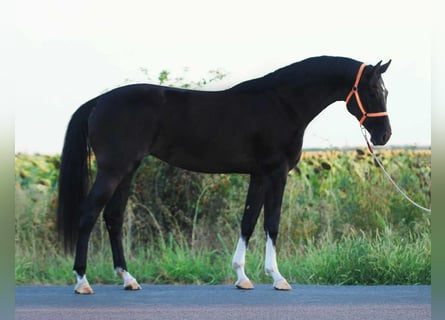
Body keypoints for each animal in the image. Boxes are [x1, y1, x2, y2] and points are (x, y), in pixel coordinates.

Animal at [57, 55, 390, 292]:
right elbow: (272, 223)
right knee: (88, 214)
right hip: (112, 170)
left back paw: (128, 278)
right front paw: (277, 277)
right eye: (373, 91)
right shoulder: (276, 172)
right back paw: (82, 281)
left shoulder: (258, 175)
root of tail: (98, 102)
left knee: (113, 217)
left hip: (127, 170)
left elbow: (248, 222)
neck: (282, 103)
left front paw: (242, 277)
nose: (384, 135)